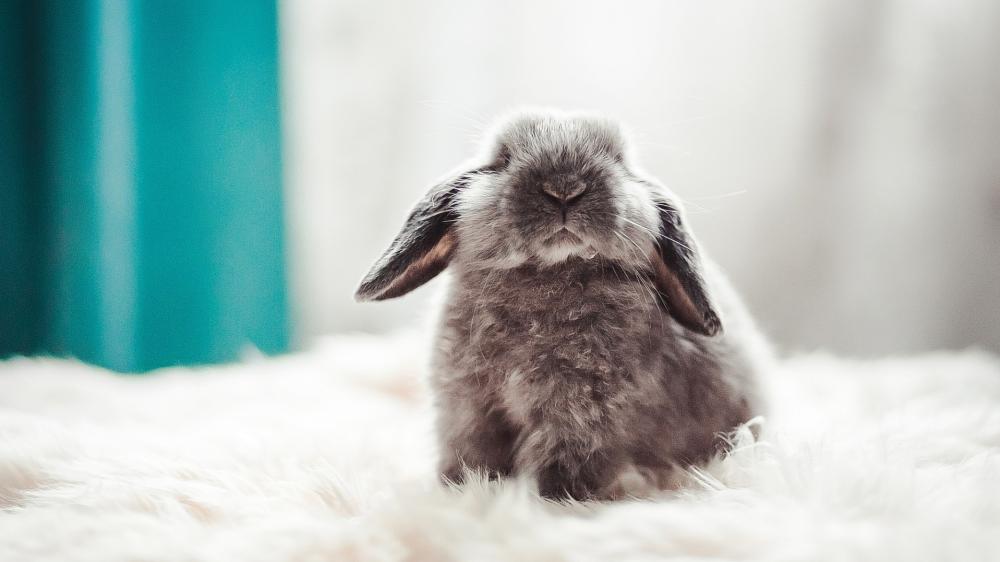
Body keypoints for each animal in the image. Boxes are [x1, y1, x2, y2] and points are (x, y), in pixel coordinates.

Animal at [355, 109, 768, 501]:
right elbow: (471, 448)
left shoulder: (581, 415)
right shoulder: (468, 403)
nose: (565, 189)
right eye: (502, 158)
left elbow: (565, 458)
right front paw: (463, 487)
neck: (550, 274)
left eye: (619, 159)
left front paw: (557, 498)